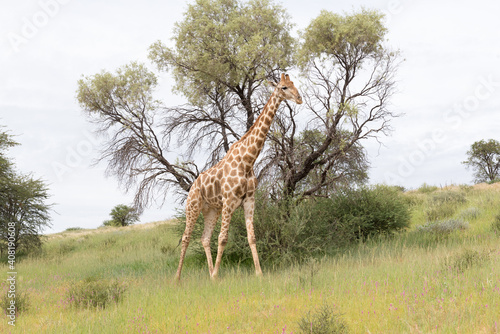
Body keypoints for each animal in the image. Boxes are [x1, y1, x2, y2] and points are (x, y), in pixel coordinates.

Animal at [174, 73, 302, 282]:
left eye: (293, 84)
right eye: (283, 87)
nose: (299, 98)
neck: (248, 160)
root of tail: (192, 187)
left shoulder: (249, 200)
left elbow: (252, 237)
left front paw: (259, 273)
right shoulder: (229, 200)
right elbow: (223, 239)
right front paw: (217, 276)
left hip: (212, 210)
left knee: (204, 238)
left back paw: (209, 273)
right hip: (193, 207)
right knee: (186, 238)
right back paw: (177, 278)